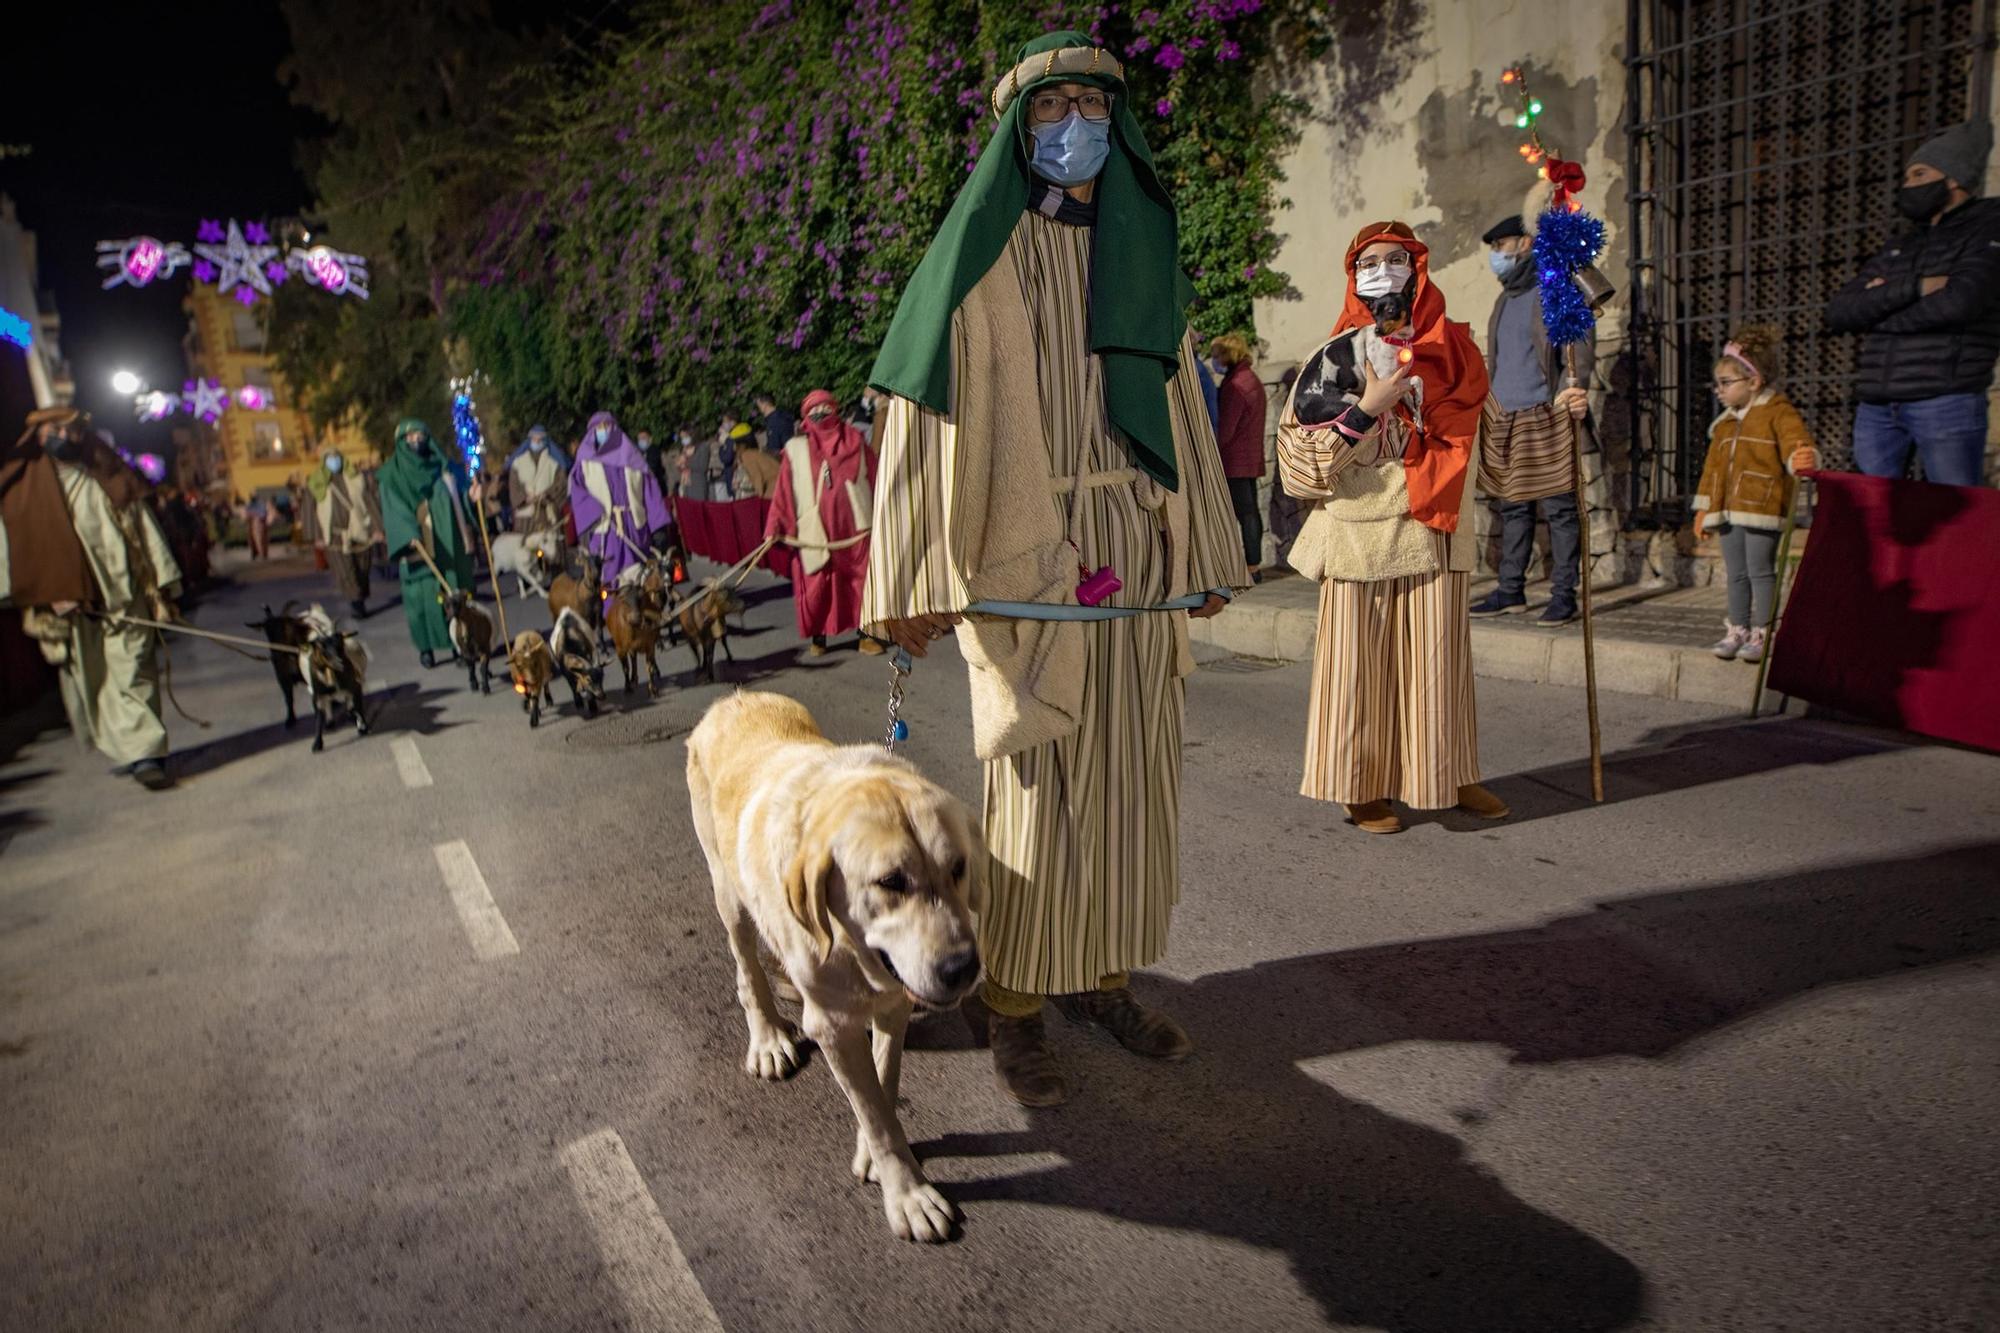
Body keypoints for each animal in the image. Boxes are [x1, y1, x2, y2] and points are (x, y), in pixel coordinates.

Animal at [294, 600, 370, 748]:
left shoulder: (356, 685)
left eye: (339, 641)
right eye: (321, 646)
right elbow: (319, 718)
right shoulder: (317, 695)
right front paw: (317, 744)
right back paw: (331, 721)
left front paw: (363, 727)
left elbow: (357, 707)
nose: (339, 662)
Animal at [604, 556, 668, 696]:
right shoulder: (620, 648)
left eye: (641, 599)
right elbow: (625, 667)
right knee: (632, 659)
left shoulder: (649, 645)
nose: (635, 618)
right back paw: (633, 679)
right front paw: (627, 686)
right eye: (623, 601)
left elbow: (649, 666)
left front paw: (653, 689)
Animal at [688, 688, 984, 1240]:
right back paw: (767, 1037)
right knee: (747, 969)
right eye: (891, 882)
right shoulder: (830, 1024)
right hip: (728, 892)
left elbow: (883, 1085)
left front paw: (876, 1154)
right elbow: (872, 1109)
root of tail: (734, 696)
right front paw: (908, 1194)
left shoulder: (894, 1002)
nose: (962, 969)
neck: (852, 949)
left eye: (958, 867)